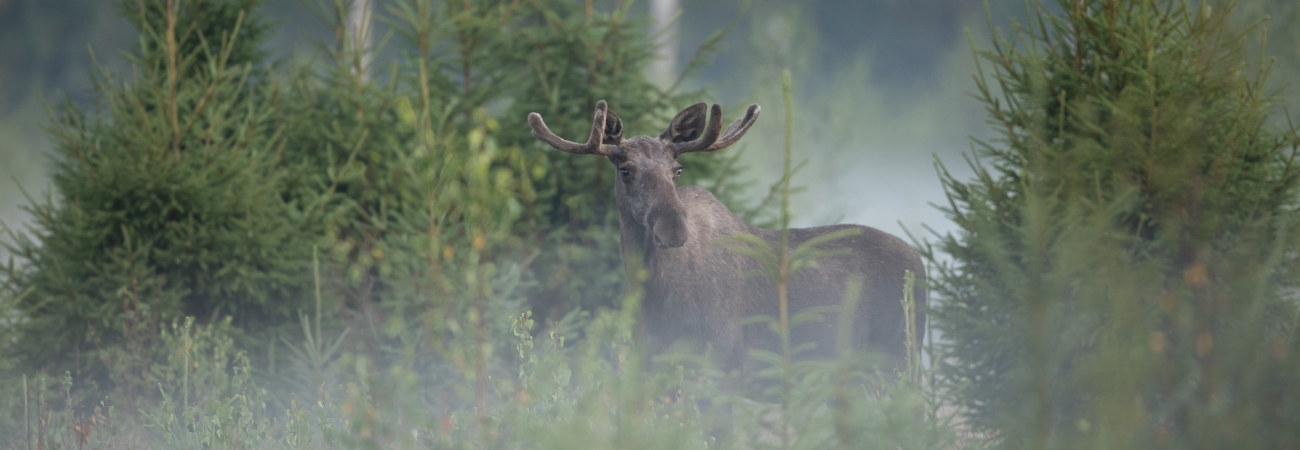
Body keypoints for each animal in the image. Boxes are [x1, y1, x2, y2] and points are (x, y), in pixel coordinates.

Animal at [520, 100, 925, 374]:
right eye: (625, 170)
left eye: (677, 170)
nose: (674, 228)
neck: (651, 290)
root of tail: (921, 263)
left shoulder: (723, 365)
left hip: (899, 360)